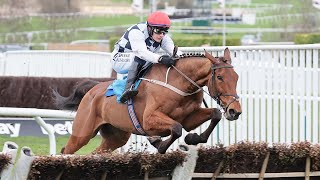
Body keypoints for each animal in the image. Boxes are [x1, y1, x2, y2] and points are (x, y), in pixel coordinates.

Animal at [54, 47, 240, 153]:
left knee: (97, 152)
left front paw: (193, 138)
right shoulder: (148, 120)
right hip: (82, 133)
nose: (235, 111)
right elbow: (176, 128)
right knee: (67, 150)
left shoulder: (188, 118)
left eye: (236, 77)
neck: (179, 83)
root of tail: (92, 90)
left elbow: (214, 114)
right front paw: (160, 144)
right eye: (220, 77)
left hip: (116, 136)